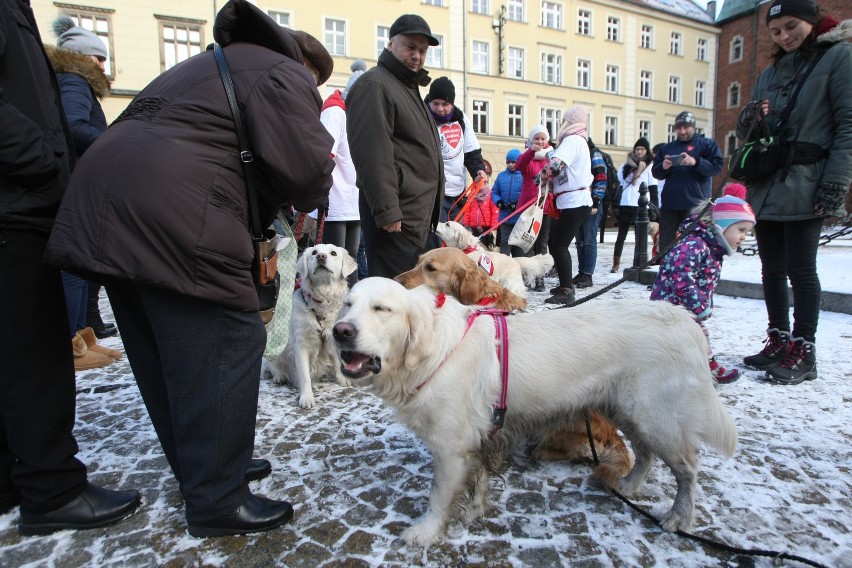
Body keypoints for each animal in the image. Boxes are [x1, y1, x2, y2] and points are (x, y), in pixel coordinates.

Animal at [266, 244, 360, 408]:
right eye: (314, 252)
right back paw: (279, 376)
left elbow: (337, 362)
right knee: (272, 365)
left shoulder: (333, 339)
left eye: (333, 253)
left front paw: (343, 379)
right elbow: (304, 376)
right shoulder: (301, 345)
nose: (321, 256)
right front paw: (306, 398)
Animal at [332, 278, 740, 544]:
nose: (340, 332)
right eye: (348, 304)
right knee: (645, 453)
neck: (434, 350)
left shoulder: (450, 447)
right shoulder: (477, 439)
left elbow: (437, 497)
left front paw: (426, 532)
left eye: (382, 309)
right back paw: (629, 485)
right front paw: (474, 511)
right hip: (629, 410)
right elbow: (478, 480)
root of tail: (684, 318)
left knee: (687, 468)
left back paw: (678, 517)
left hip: (656, 416)